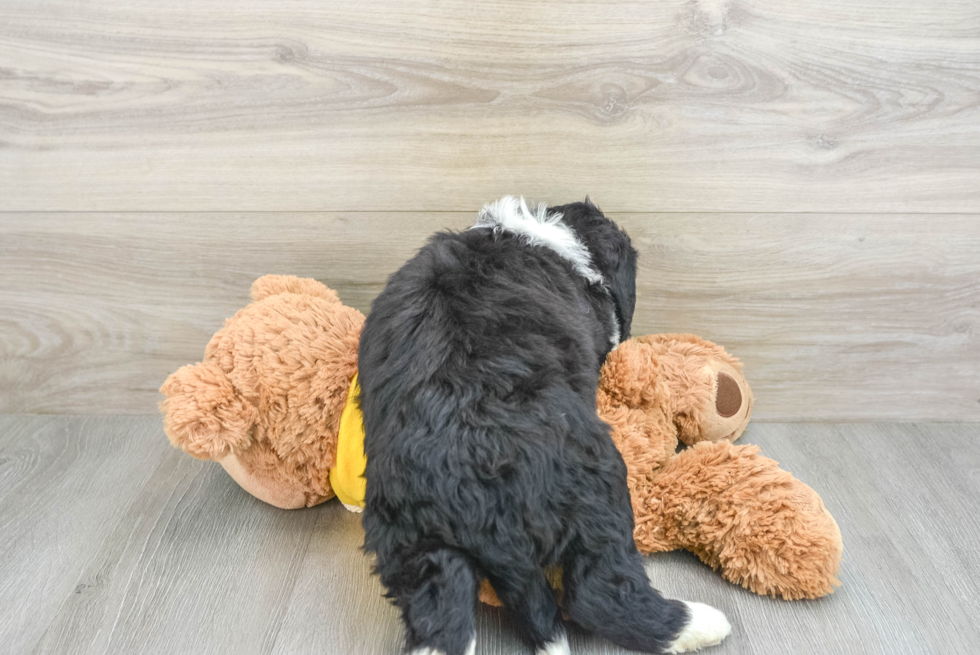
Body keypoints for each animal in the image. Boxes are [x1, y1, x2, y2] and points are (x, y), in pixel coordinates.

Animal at [358, 197, 728, 652]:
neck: (539, 235)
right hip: (596, 480)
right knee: (597, 594)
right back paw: (699, 624)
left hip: (415, 542)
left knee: (441, 620)